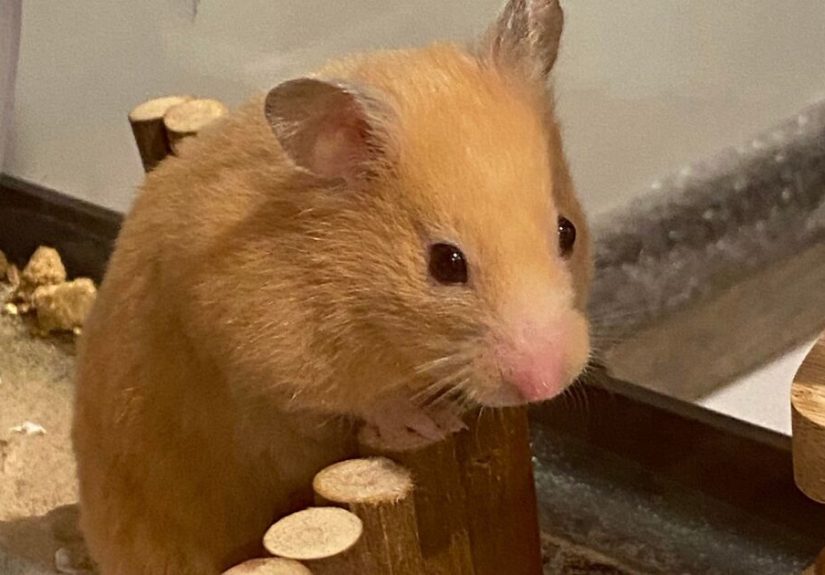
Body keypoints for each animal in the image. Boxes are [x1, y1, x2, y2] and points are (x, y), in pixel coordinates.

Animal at [72, 0, 592, 573]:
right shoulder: (258, 348)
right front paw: (429, 426)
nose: (548, 382)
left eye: (566, 231)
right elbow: (353, 401)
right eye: (446, 263)